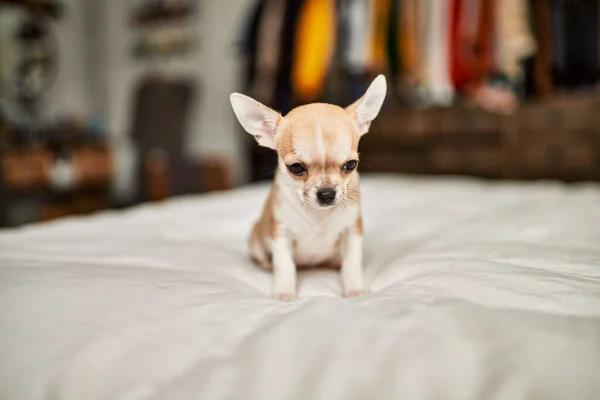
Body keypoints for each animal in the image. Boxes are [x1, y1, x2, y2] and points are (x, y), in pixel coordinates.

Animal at [227, 75, 386, 300]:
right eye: (296, 168)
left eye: (351, 165)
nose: (327, 194)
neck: (318, 215)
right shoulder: (281, 233)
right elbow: (285, 266)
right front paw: (284, 293)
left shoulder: (351, 231)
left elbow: (352, 263)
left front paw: (354, 289)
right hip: (256, 237)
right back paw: (267, 265)